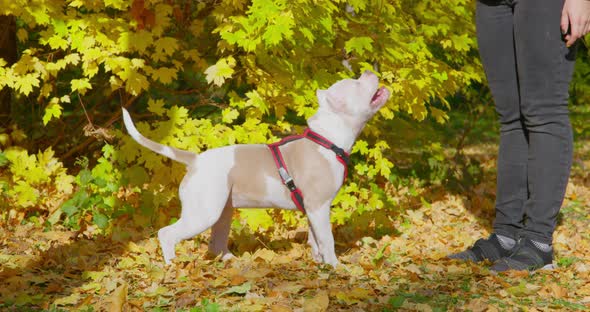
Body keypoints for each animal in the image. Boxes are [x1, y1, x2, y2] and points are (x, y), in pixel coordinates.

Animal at [122, 70, 390, 266]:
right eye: (356, 84)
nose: (368, 70)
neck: (327, 138)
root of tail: (195, 160)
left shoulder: (314, 211)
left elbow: (317, 240)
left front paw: (320, 264)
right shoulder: (319, 207)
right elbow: (328, 239)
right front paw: (336, 267)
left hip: (222, 212)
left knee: (216, 243)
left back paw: (233, 261)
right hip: (203, 213)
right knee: (167, 234)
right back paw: (171, 265)